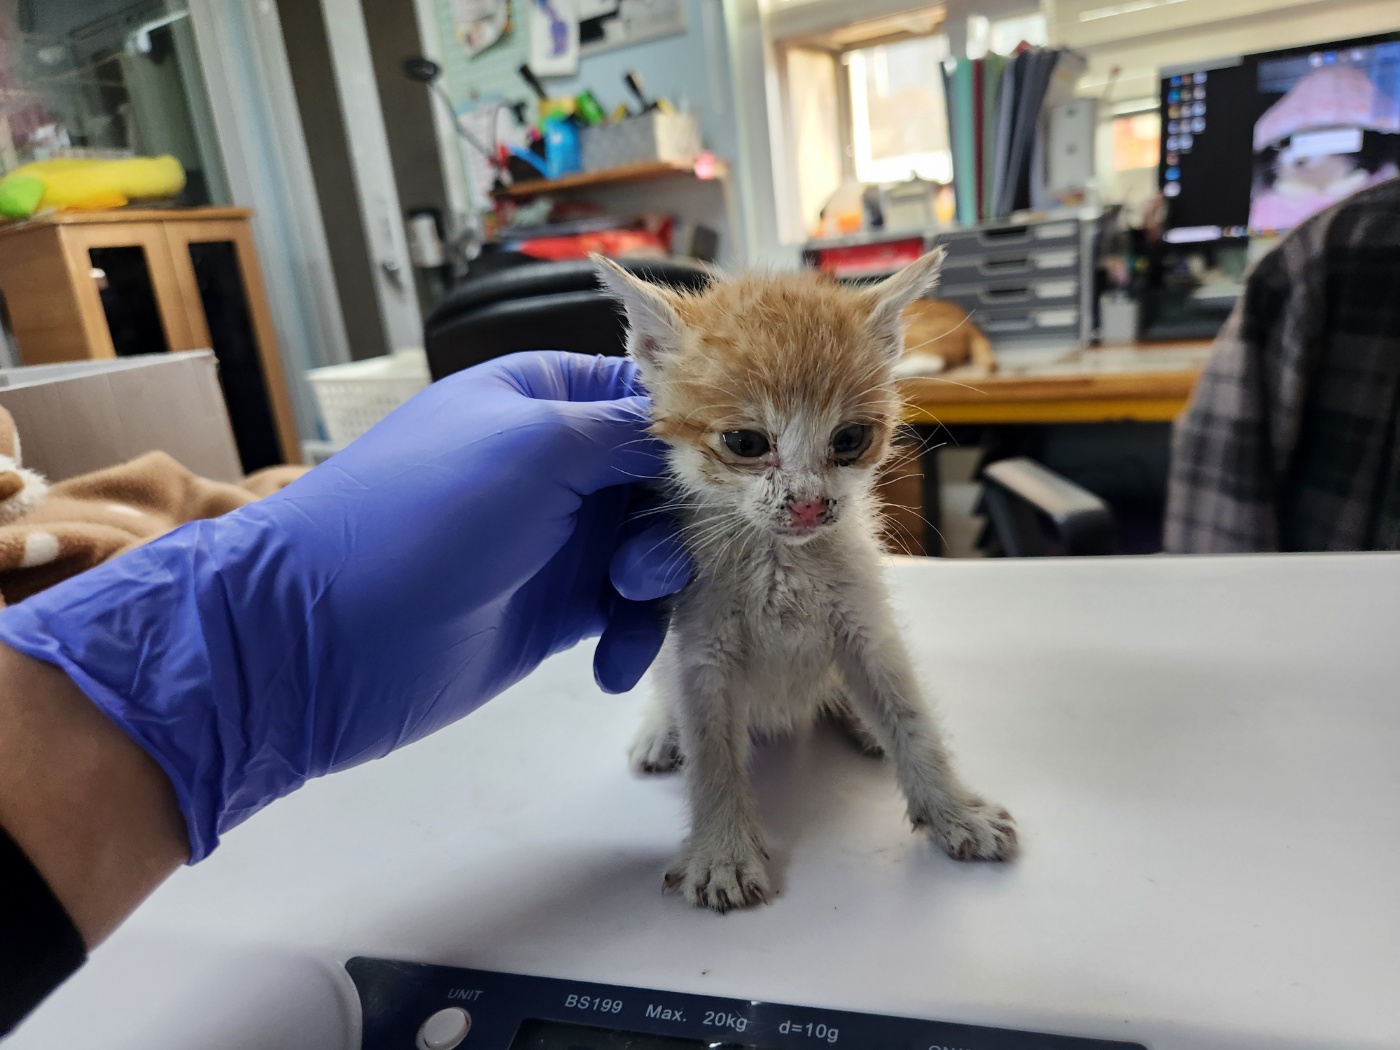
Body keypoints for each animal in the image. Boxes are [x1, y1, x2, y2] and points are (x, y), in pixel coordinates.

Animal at [593, 253, 1019, 912]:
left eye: (849, 440)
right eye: (745, 443)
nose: (810, 506)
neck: (781, 562)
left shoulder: (866, 625)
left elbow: (910, 716)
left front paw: (953, 808)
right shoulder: (701, 647)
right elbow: (711, 750)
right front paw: (722, 849)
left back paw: (858, 720)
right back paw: (661, 730)